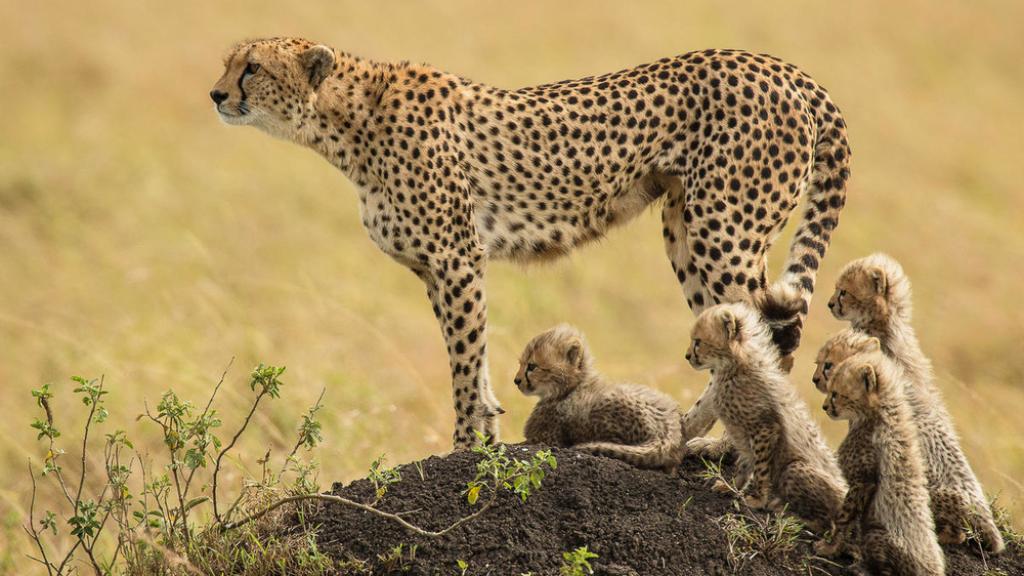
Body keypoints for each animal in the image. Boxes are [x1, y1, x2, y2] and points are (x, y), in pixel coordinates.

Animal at [211, 37, 852, 447]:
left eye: (252, 68)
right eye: (229, 64)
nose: (216, 95)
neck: (347, 122)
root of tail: (784, 68)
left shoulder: (457, 257)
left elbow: (465, 357)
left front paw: (469, 445)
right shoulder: (438, 268)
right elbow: (470, 357)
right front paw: (486, 428)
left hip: (724, 229)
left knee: (766, 338)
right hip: (685, 229)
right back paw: (688, 433)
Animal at [515, 324, 684, 471]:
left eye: (532, 366)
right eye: (521, 363)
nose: (516, 381)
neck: (568, 389)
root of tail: (668, 431)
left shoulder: (546, 438)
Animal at [684, 302, 846, 533]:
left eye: (698, 341)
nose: (687, 355)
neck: (734, 366)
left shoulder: (765, 429)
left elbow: (761, 469)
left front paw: (758, 500)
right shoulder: (745, 434)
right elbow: (745, 464)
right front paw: (731, 487)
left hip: (794, 469)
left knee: (827, 523)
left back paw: (790, 515)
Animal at [818, 351, 945, 576]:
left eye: (835, 393)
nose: (825, 407)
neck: (879, 414)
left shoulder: (862, 482)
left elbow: (844, 518)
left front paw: (830, 548)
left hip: (877, 535)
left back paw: (862, 568)